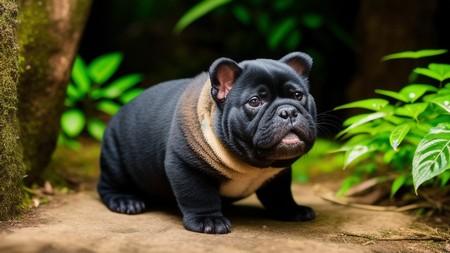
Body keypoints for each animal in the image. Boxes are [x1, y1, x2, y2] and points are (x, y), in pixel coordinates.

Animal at [98, 51, 316, 233]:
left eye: (298, 96)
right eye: (255, 101)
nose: (288, 110)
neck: (254, 165)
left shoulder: (278, 175)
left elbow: (280, 194)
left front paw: (292, 210)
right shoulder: (187, 165)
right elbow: (199, 196)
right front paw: (208, 221)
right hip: (115, 160)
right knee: (107, 185)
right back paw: (125, 201)